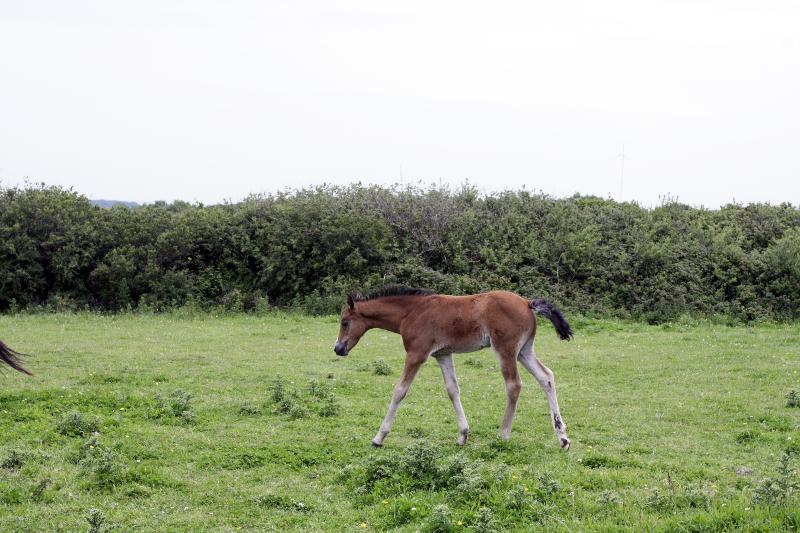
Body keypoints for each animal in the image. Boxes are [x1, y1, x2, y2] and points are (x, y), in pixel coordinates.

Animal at [334, 286, 572, 448]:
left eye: (345, 322)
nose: (338, 348)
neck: (411, 312)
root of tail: (526, 302)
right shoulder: (443, 354)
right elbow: (452, 390)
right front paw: (462, 435)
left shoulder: (417, 354)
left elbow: (400, 391)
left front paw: (378, 437)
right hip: (524, 350)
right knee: (546, 377)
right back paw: (562, 437)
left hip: (506, 349)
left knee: (514, 385)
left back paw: (504, 434)